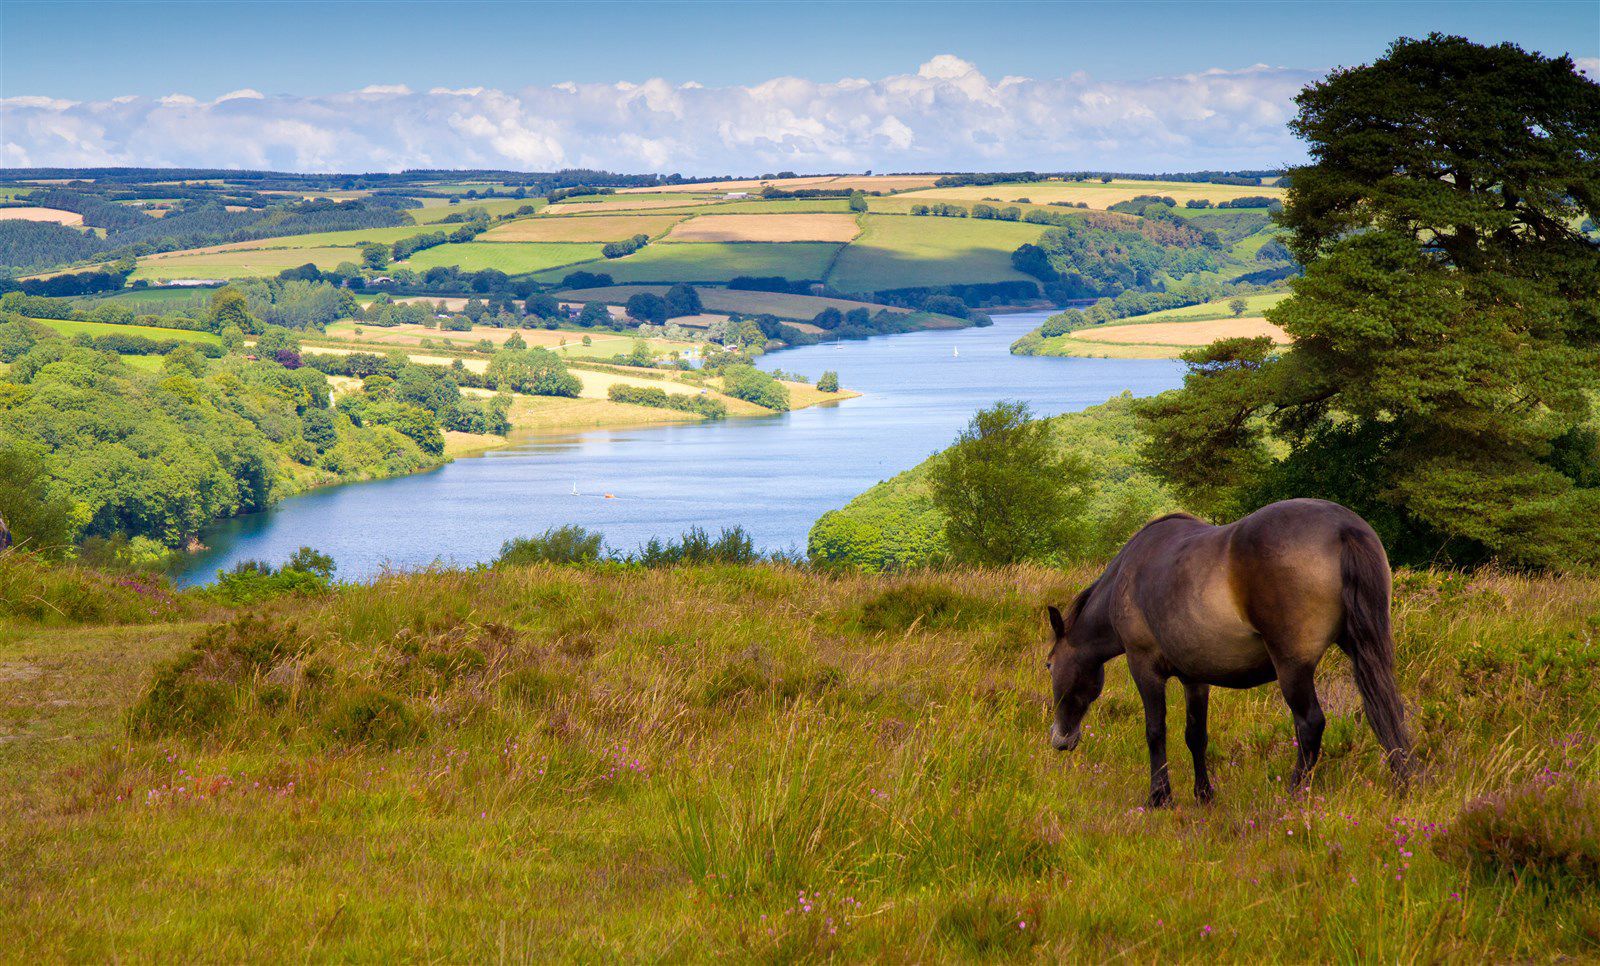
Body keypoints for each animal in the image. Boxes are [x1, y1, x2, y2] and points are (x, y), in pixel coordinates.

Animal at [1049, 495, 1414, 802]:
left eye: (1049, 665)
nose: (1061, 739)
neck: (1127, 576)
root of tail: (1343, 528)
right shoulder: (1195, 677)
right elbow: (1196, 735)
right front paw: (1204, 794)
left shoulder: (1144, 668)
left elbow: (1155, 731)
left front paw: (1159, 797)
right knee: (1387, 711)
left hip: (1292, 668)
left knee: (1310, 724)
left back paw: (1294, 794)